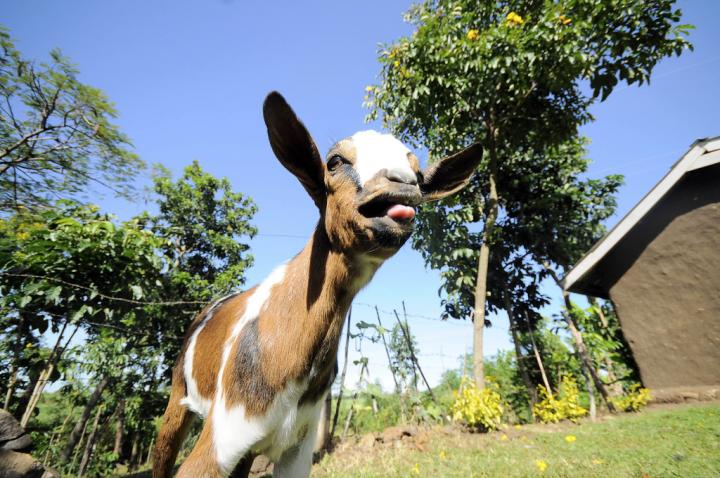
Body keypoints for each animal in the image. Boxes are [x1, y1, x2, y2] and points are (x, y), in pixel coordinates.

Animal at [151, 91, 480, 476]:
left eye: (418, 175)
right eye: (334, 162)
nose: (403, 186)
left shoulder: (298, 446)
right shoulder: (221, 437)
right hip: (178, 398)